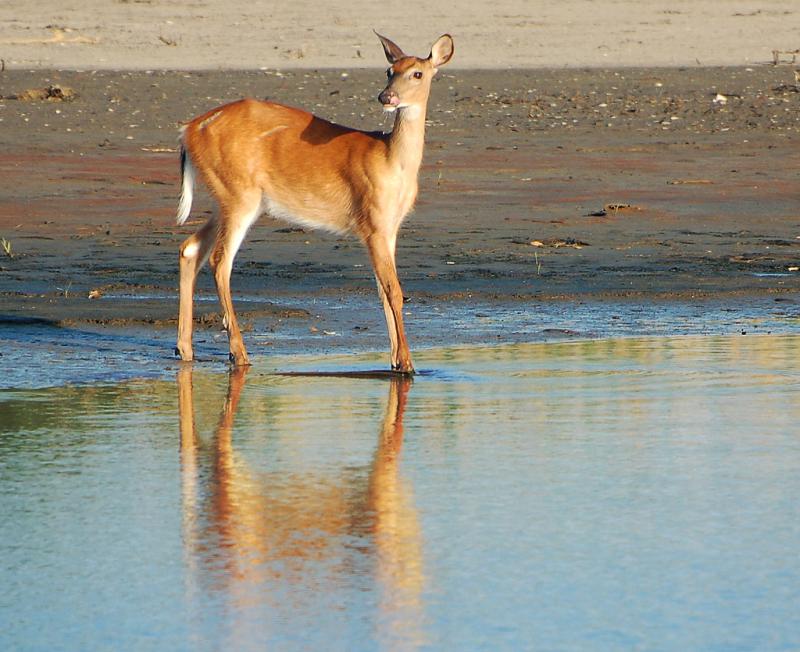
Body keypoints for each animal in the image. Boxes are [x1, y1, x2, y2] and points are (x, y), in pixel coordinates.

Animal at [173, 33, 454, 372]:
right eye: (389, 70)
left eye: (417, 73)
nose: (386, 97)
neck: (391, 160)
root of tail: (188, 131)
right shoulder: (372, 221)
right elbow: (394, 291)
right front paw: (409, 364)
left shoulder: (389, 227)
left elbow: (383, 292)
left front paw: (397, 363)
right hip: (240, 194)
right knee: (219, 261)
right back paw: (239, 353)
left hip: (226, 196)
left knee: (190, 248)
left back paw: (185, 349)